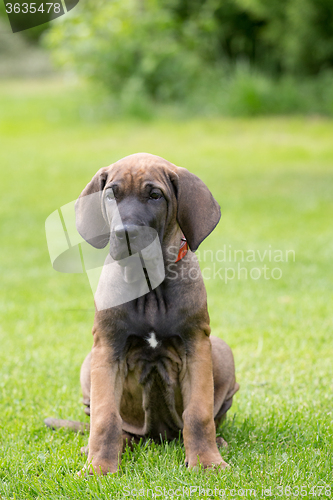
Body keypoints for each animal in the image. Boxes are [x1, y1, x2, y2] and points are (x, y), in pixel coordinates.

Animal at [75, 154, 237, 474]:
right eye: (111, 194)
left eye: (155, 196)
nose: (125, 233)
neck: (148, 279)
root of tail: (157, 437)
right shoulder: (107, 349)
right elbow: (104, 418)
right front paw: (100, 467)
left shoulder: (196, 347)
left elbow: (198, 414)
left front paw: (207, 462)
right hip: (88, 366)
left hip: (223, 353)